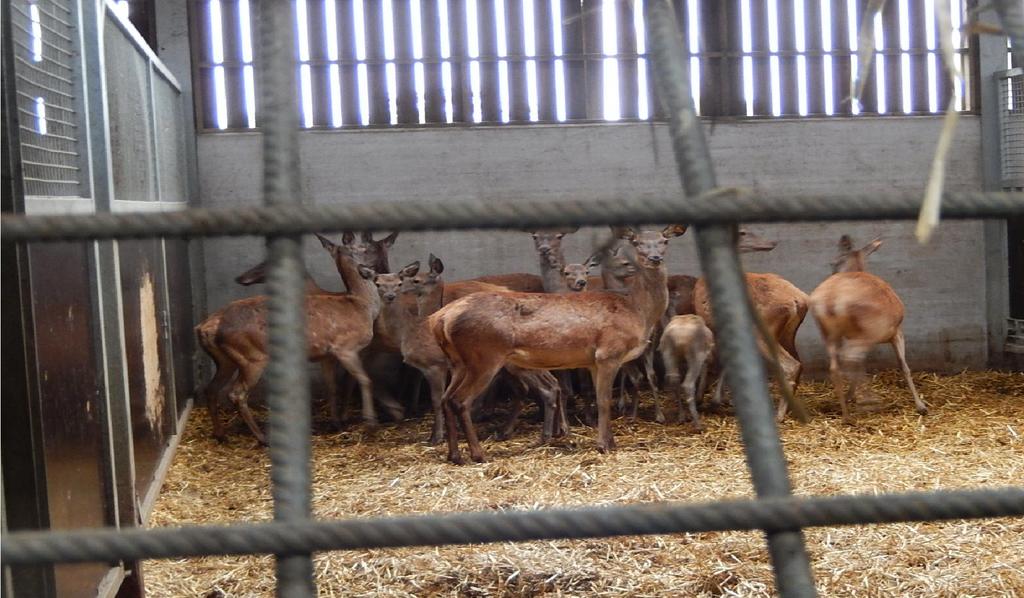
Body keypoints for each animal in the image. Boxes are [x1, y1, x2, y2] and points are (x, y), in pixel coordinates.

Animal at [432, 224, 688, 462]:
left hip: (459, 362)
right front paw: (603, 445)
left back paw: (454, 455)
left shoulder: (593, 361)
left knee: (446, 398)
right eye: (636, 242)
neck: (637, 310)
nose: (654, 258)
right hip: (484, 355)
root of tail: (442, 318)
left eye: (664, 241)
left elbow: (599, 398)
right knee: (460, 400)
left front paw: (610, 442)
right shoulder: (608, 353)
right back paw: (477, 454)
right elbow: (604, 401)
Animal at [692, 229, 811, 419]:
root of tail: (799, 300)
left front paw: (706, 399)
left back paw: (779, 415)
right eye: (743, 232)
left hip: (763, 331)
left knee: (792, 365)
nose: (771, 242)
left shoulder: (710, 324)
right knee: (800, 363)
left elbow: (710, 359)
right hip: (788, 334)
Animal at [806, 235, 929, 421]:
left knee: (837, 366)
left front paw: (851, 396)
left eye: (834, 262)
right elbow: (904, 366)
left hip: (829, 332)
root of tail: (831, 300)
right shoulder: (896, 332)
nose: (833, 271)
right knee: (850, 358)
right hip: (865, 333)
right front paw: (921, 406)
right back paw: (869, 401)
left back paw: (846, 413)